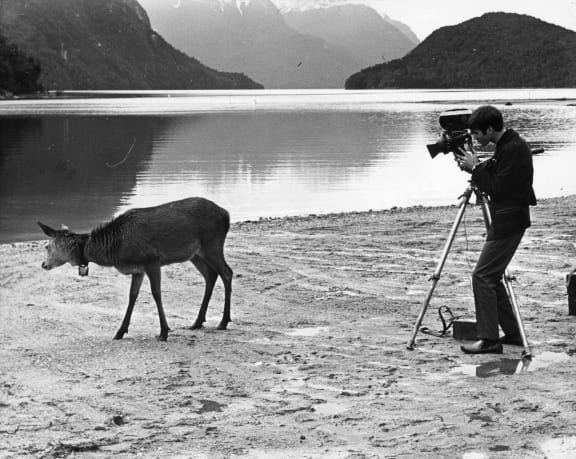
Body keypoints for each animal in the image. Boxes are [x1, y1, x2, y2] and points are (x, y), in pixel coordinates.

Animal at [38, 197, 233, 341]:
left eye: (47, 246)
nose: (43, 265)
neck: (117, 251)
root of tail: (226, 214)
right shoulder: (138, 269)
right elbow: (132, 296)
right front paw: (120, 332)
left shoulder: (153, 261)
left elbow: (156, 293)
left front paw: (164, 332)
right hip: (196, 254)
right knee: (210, 275)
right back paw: (198, 322)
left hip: (212, 245)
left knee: (227, 273)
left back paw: (223, 322)